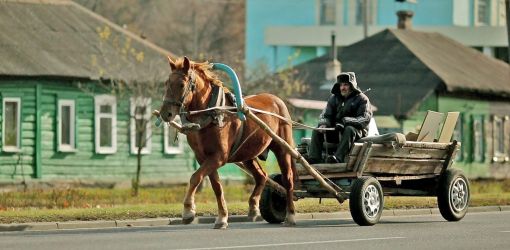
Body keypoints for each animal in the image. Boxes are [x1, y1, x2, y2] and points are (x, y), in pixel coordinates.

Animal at [157, 56, 296, 229]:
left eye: (182, 84)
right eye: (166, 83)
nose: (165, 113)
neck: (211, 114)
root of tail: (277, 100)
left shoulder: (218, 157)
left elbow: (195, 177)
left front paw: (188, 210)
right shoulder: (204, 158)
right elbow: (216, 187)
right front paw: (222, 217)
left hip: (282, 148)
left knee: (288, 180)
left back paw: (290, 215)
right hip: (248, 153)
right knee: (261, 176)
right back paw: (253, 206)